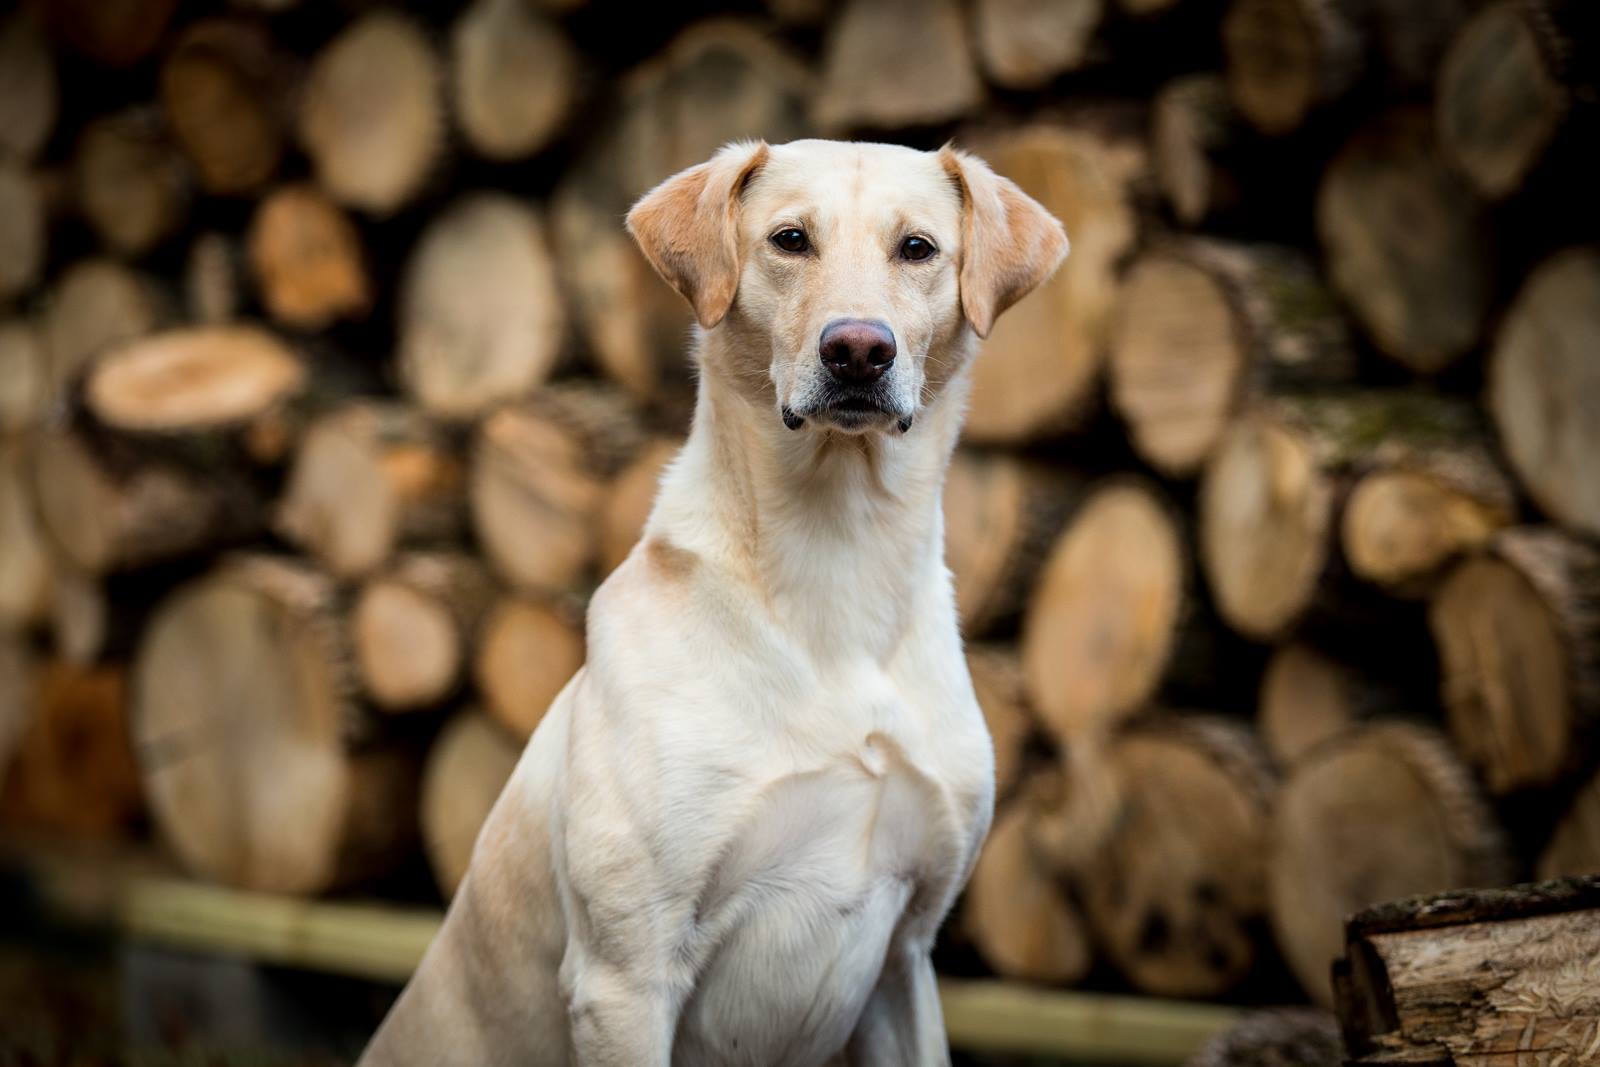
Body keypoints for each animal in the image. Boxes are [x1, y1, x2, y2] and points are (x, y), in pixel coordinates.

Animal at [356, 141, 1068, 1067]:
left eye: (917, 248)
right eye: (790, 238)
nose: (858, 350)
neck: (836, 556)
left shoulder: (906, 955)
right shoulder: (626, 976)